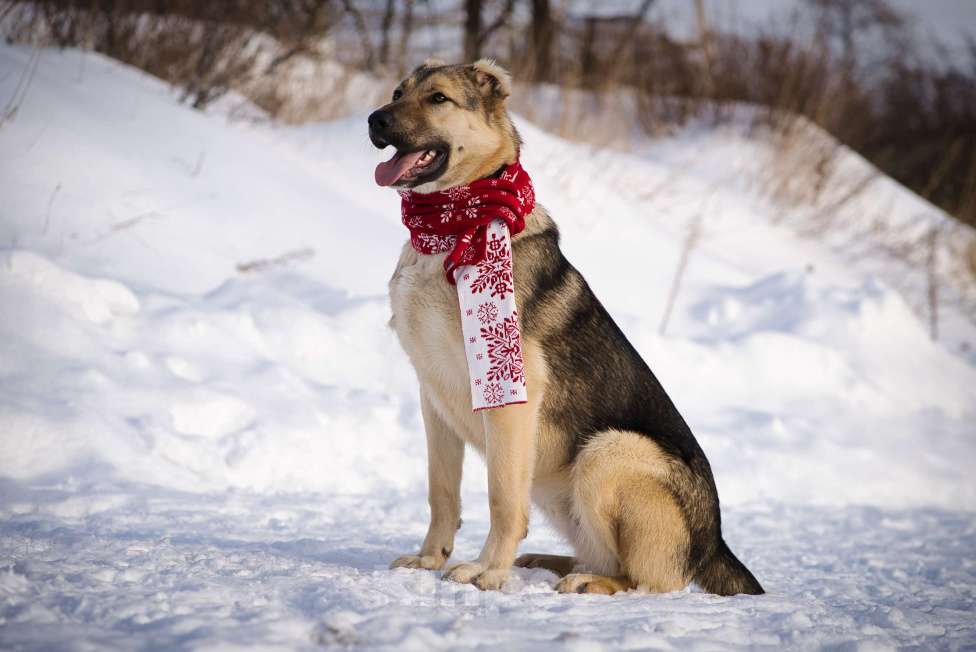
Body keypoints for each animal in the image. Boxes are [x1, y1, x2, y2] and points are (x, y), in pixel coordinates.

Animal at [366, 58, 764, 592]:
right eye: (397, 93)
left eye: (438, 99)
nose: (374, 120)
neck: (450, 229)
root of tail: (714, 541)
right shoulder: (434, 398)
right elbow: (442, 492)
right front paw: (431, 559)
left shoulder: (509, 396)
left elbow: (502, 499)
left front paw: (487, 571)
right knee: (603, 557)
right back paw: (546, 562)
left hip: (609, 451)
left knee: (646, 580)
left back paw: (586, 582)